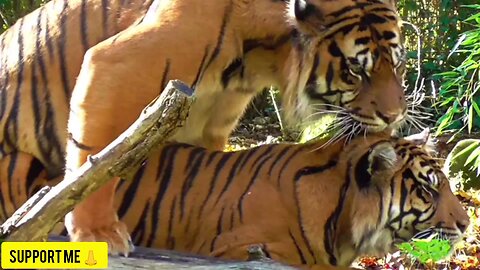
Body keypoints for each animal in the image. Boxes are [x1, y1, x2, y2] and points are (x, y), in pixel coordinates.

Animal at [0, 0, 408, 253]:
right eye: (355, 70)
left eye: (397, 64)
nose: (395, 116)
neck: (262, 57)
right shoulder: (118, 64)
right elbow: (96, 163)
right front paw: (98, 232)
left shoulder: (210, 122)